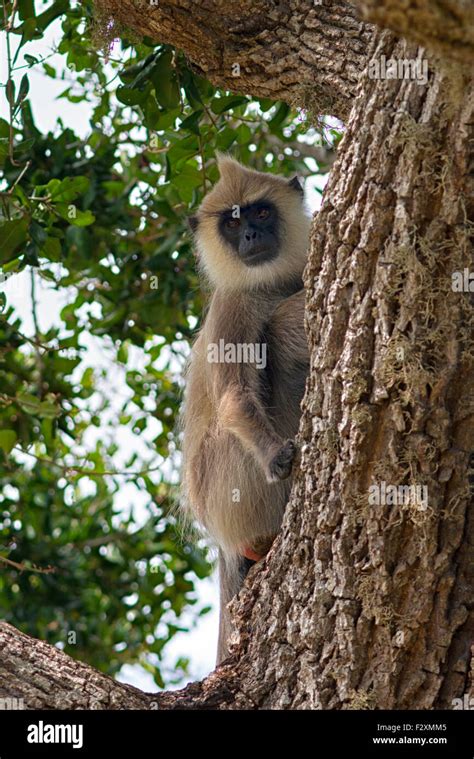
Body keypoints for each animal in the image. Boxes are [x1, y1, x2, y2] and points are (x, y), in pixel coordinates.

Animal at [181, 156, 312, 664]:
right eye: (232, 223)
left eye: (259, 213)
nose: (251, 236)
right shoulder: (232, 307)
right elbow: (234, 401)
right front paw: (277, 454)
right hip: (225, 487)